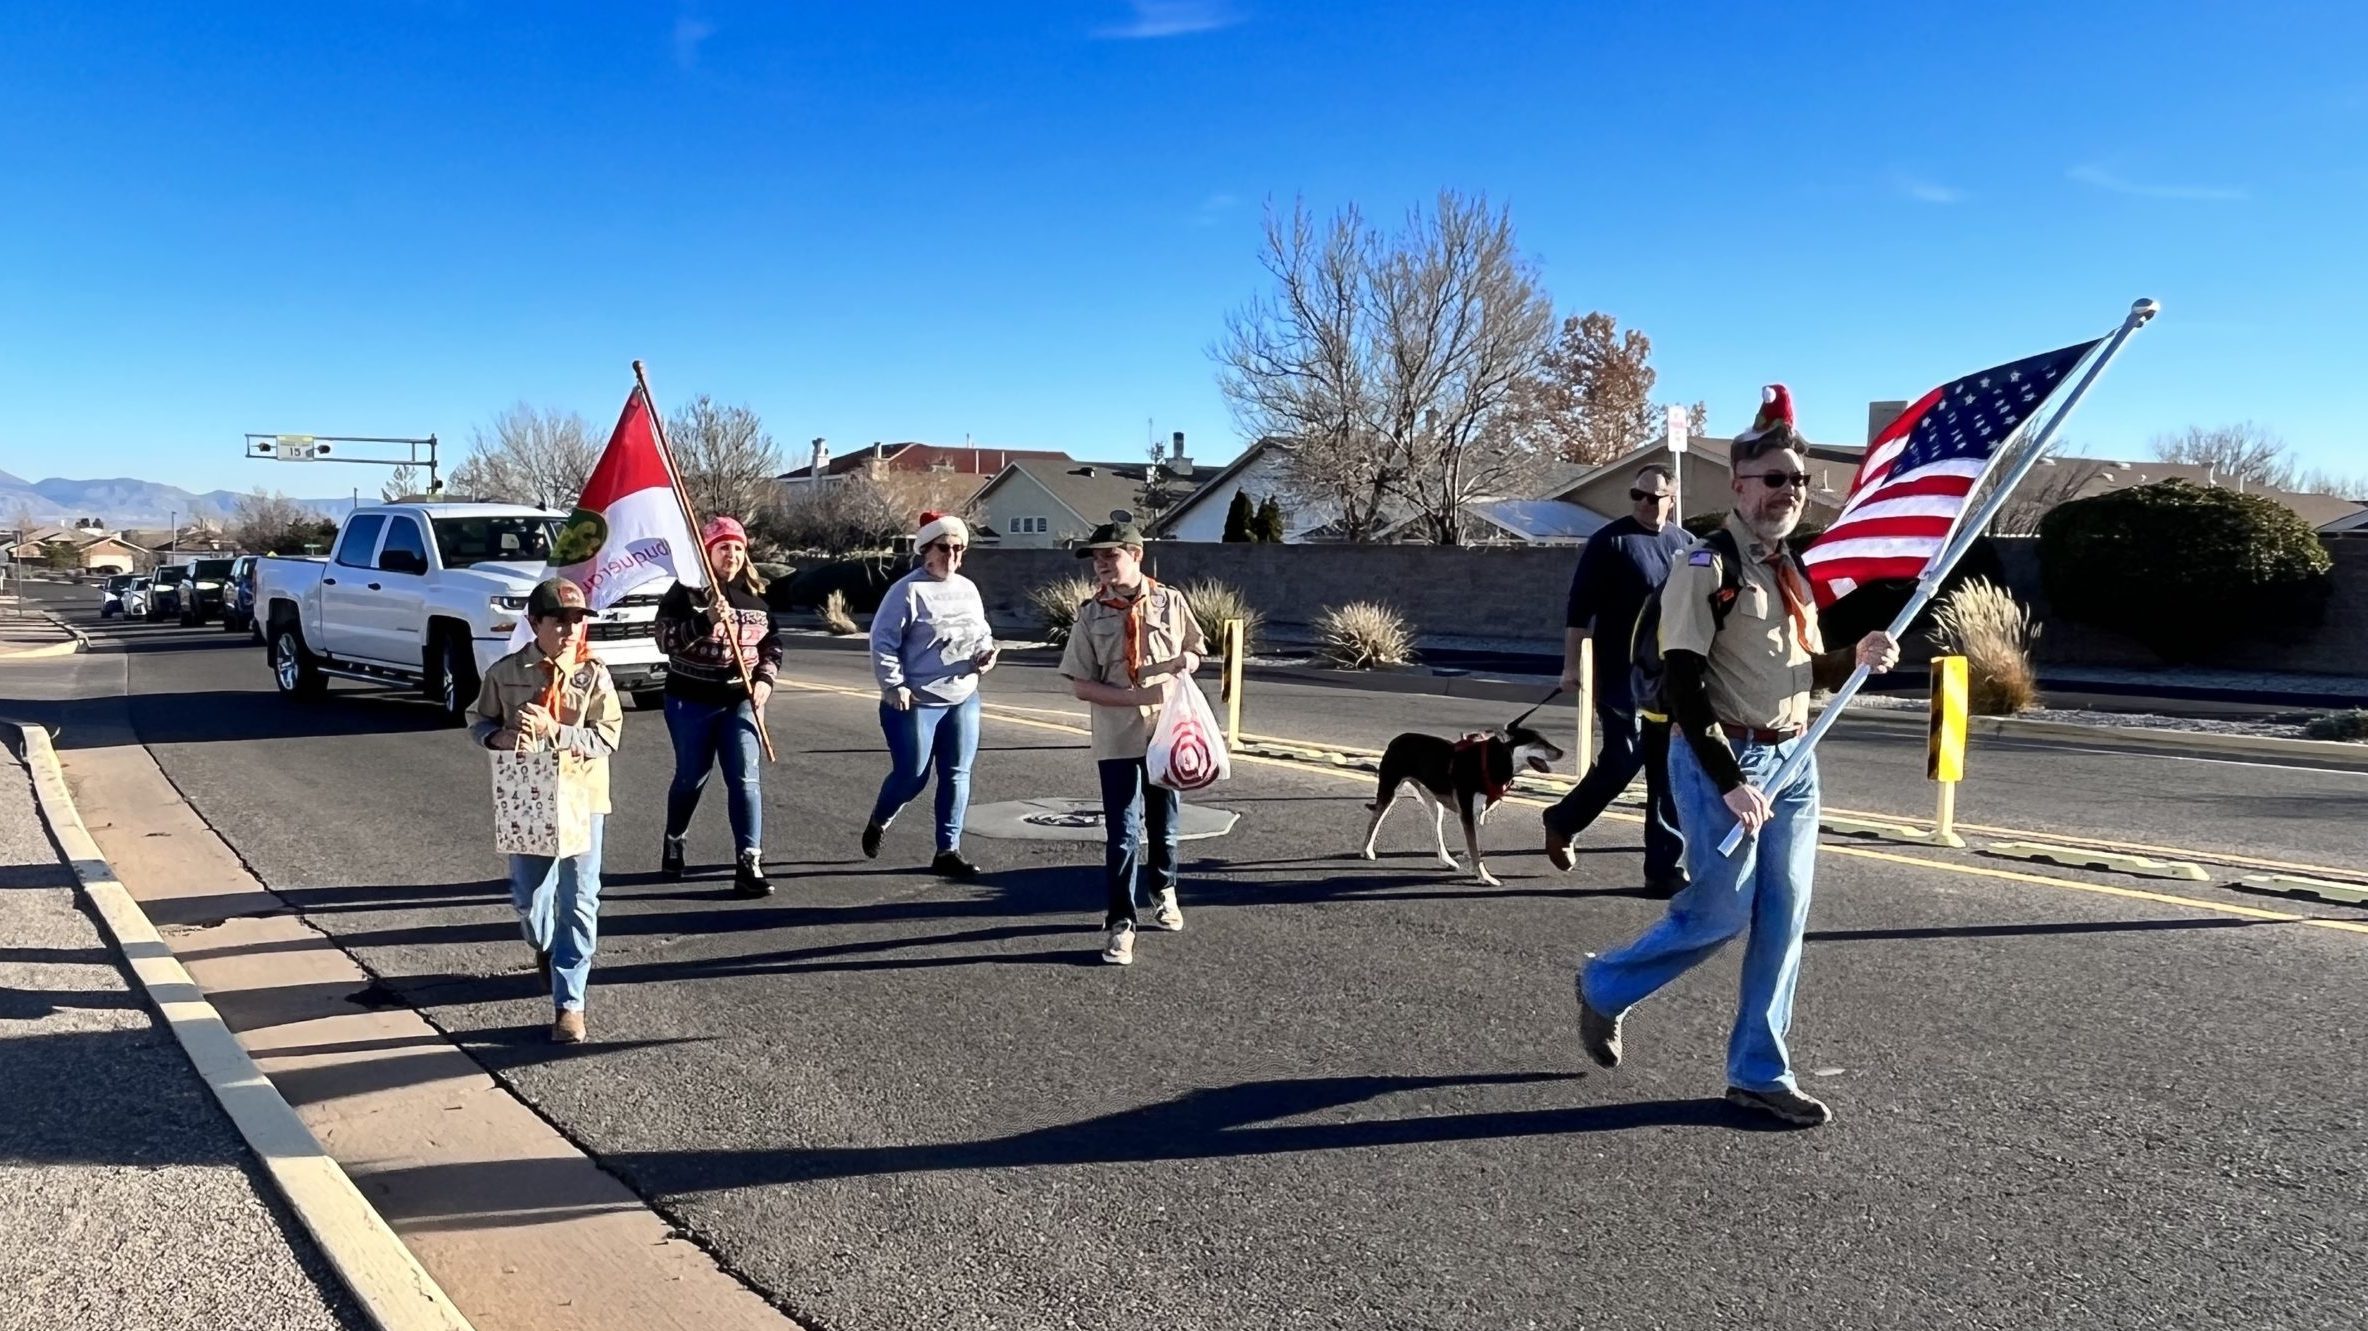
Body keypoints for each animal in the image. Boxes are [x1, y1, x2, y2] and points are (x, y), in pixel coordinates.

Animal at [1363, 715, 1562, 881]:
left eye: (1545, 741)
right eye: (1537, 742)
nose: (1561, 752)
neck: (1494, 762)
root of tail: (1397, 739)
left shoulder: (1477, 812)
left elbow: (1474, 844)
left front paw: (1470, 861)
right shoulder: (1466, 812)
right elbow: (1474, 848)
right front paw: (1484, 877)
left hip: (1435, 804)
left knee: (1437, 833)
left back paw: (1447, 861)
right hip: (1390, 792)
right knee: (1375, 822)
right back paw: (1367, 851)